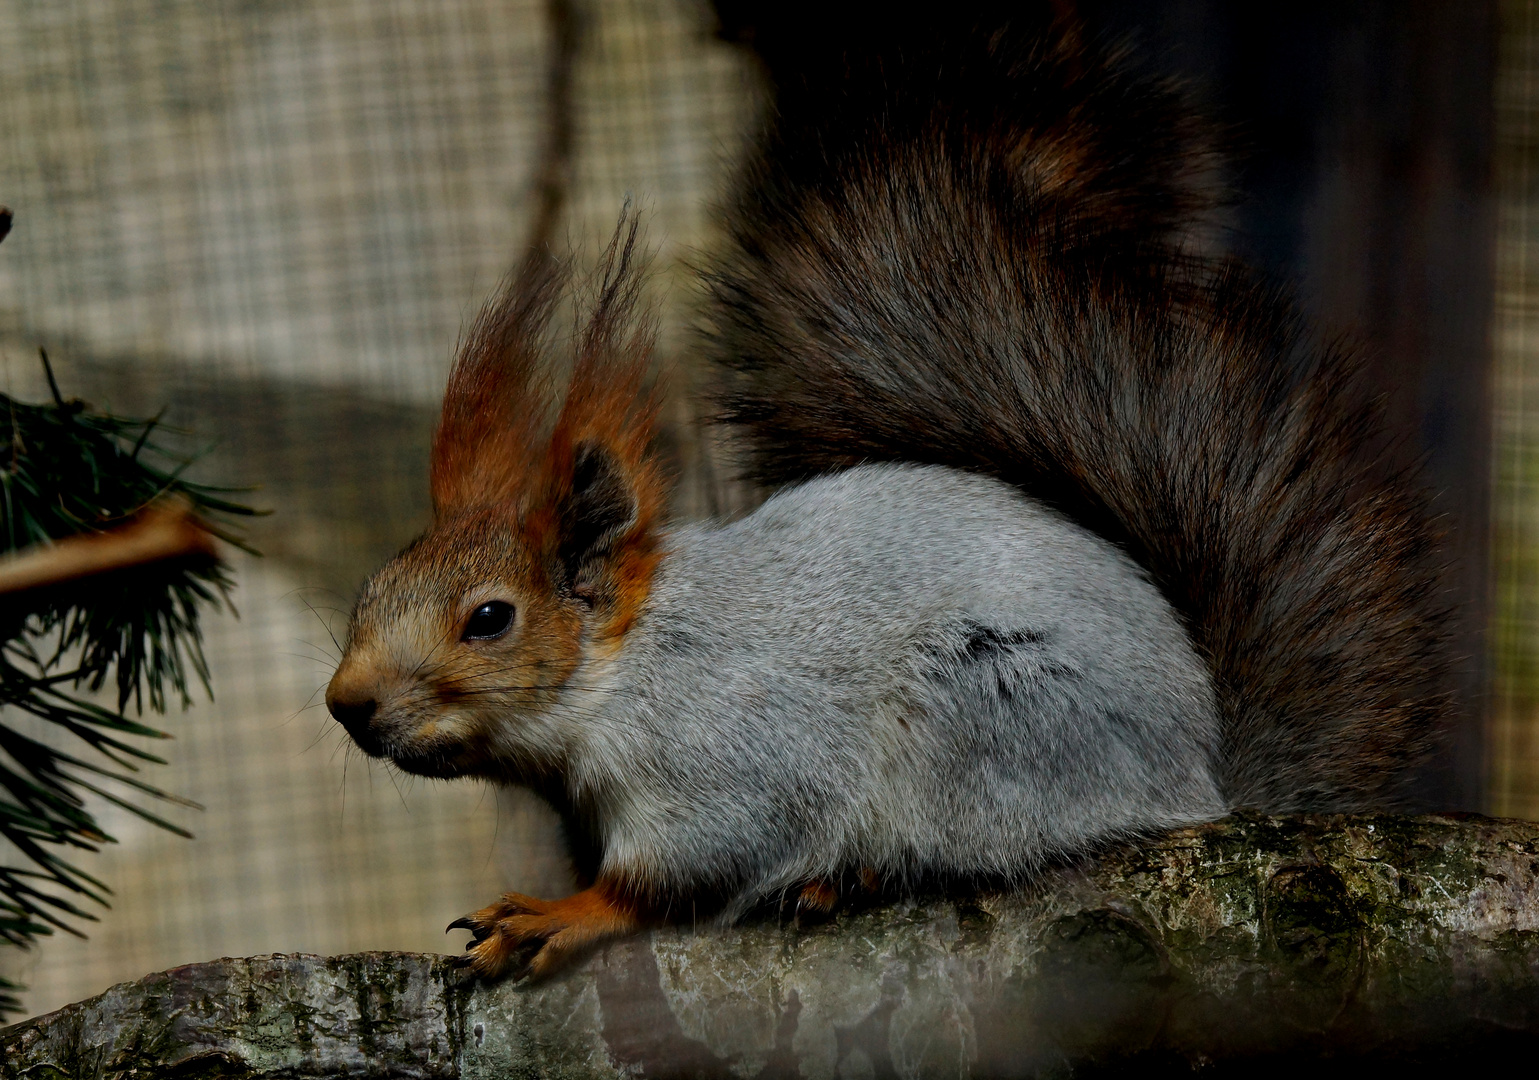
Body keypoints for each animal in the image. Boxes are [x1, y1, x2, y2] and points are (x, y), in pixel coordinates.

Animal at [318, 2, 1446, 984]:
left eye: (489, 619)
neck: (619, 668)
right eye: (369, 595)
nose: (345, 704)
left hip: (983, 720)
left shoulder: (732, 752)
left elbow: (682, 872)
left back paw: (851, 875)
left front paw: (558, 915)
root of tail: (1198, 783)